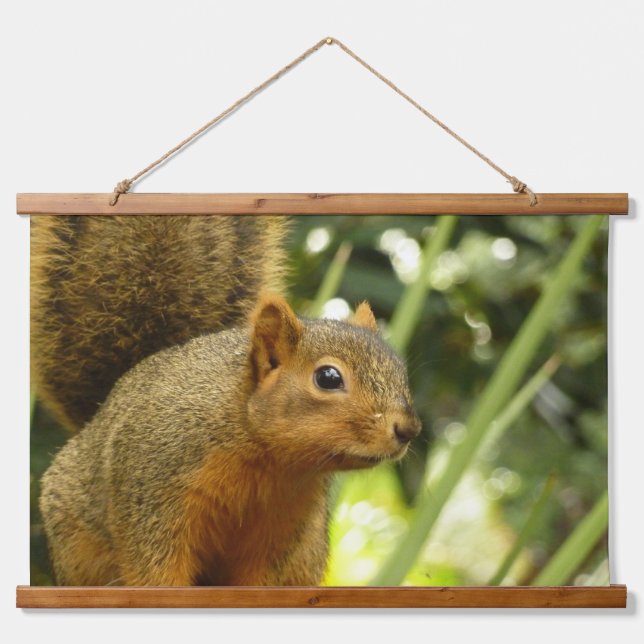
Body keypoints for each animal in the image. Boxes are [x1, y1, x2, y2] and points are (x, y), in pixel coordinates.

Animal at [33, 214, 421, 586]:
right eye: (328, 378)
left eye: (400, 369)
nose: (408, 429)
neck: (267, 457)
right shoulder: (153, 490)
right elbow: (154, 570)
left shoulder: (283, 527)